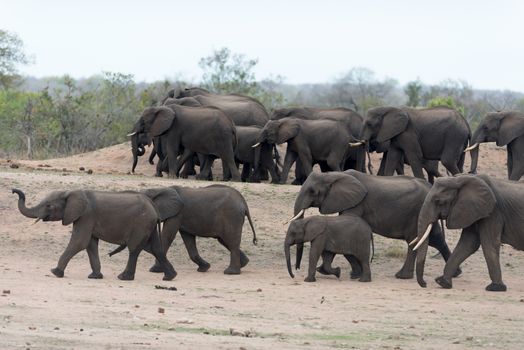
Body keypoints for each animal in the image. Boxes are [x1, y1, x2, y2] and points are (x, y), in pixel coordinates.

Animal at [11, 189, 176, 282]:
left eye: (49, 205)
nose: (13, 191)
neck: (70, 192)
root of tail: (153, 206)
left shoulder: (86, 215)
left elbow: (79, 242)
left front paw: (55, 272)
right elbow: (90, 244)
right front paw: (95, 277)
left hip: (141, 223)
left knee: (134, 249)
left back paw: (124, 278)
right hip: (149, 224)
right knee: (155, 249)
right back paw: (169, 277)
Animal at [290, 171, 458, 284]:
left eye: (312, 191)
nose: (296, 270)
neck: (334, 175)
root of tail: (430, 186)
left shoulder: (357, 203)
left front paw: (355, 275)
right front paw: (352, 274)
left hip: (417, 213)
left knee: (414, 241)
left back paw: (402, 276)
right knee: (435, 239)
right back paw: (456, 274)